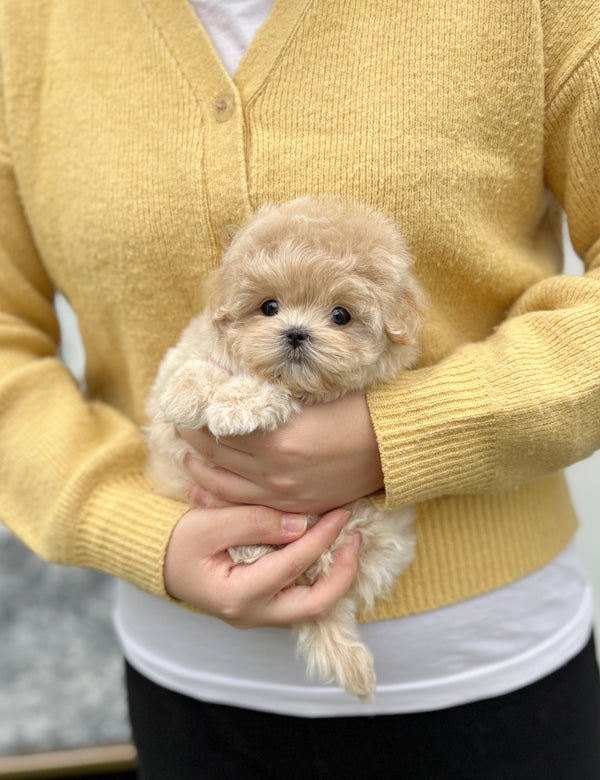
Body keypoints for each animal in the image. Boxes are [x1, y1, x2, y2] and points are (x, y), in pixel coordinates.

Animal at [146, 197, 426, 700]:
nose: (296, 333)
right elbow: (190, 367)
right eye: (269, 307)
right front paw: (188, 395)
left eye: (341, 315)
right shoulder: (190, 352)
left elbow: (282, 393)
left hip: (368, 529)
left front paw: (238, 405)